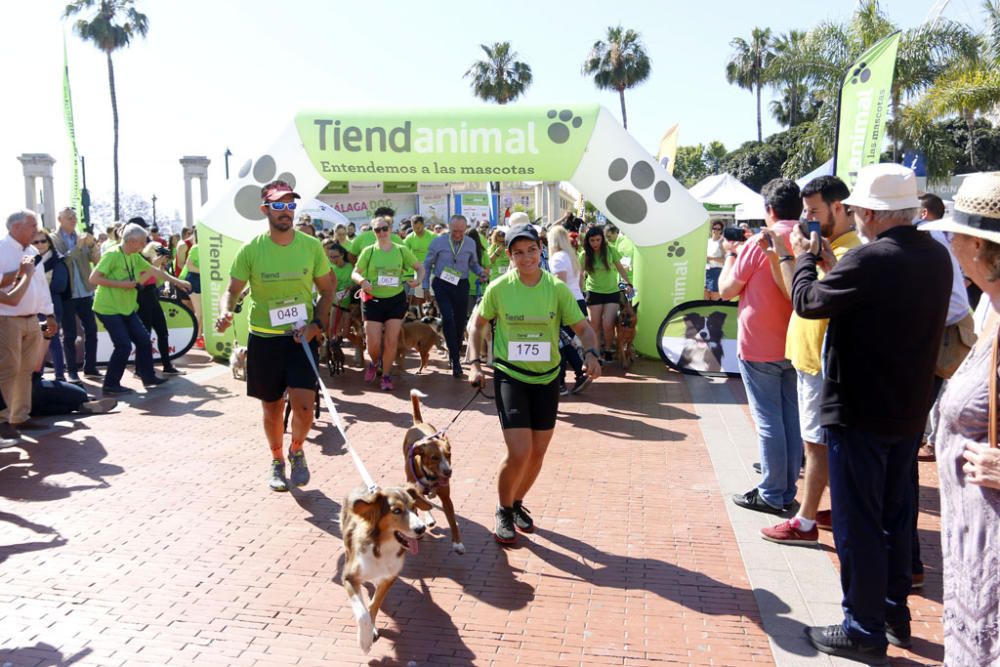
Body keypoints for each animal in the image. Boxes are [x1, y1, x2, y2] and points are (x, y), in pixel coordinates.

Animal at [342, 482, 432, 656]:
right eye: (396, 511)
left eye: (414, 507)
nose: (422, 529)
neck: (382, 548)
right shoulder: (349, 577)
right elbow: (362, 614)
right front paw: (364, 642)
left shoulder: (389, 577)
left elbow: (373, 605)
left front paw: (370, 633)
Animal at [400, 388, 462, 556]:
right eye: (434, 457)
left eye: (449, 455)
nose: (448, 472)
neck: (431, 476)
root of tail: (418, 423)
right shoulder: (413, 490)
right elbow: (418, 506)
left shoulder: (447, 499)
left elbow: (453, 522)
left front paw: (458, 544)